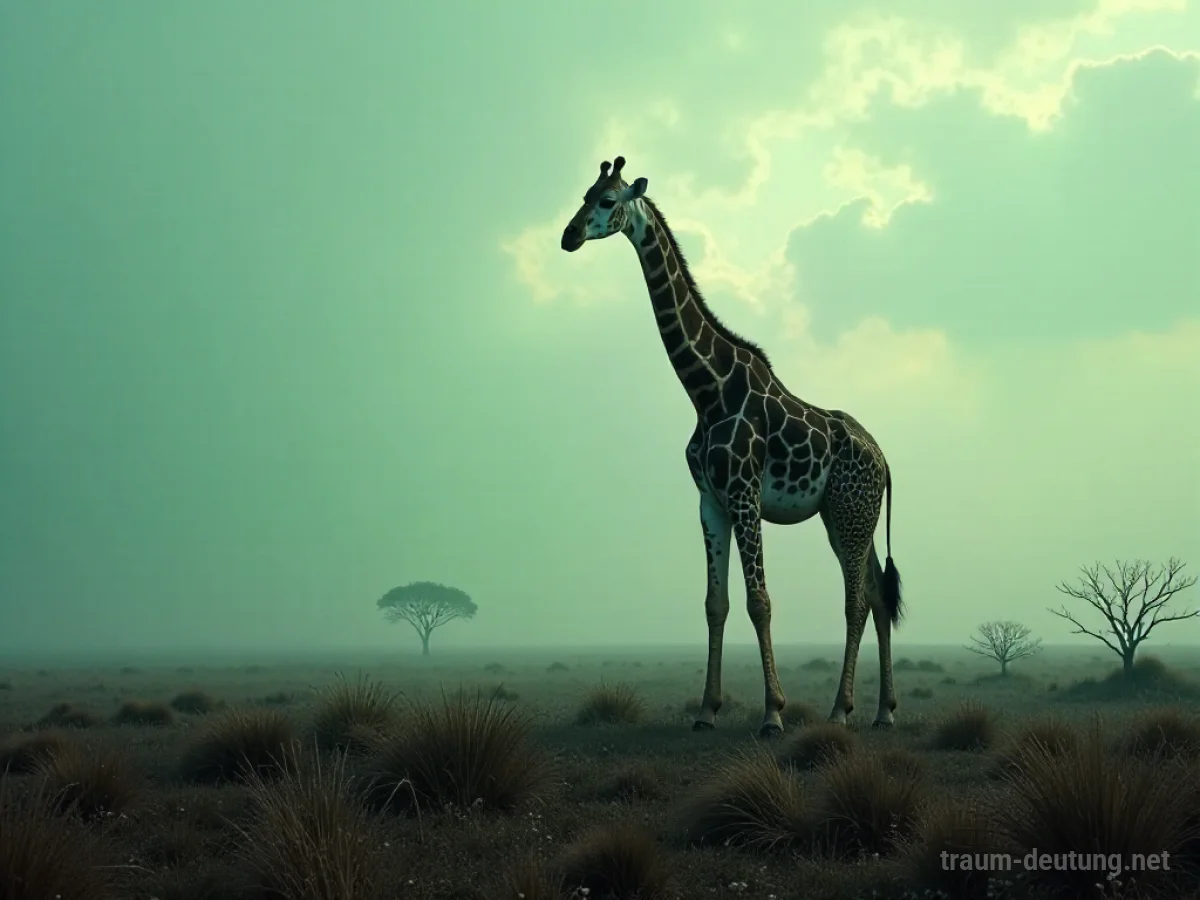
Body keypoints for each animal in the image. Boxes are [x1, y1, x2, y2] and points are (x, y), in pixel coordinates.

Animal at [560, 156, 904, 737]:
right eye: (583, 194)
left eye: (607, 201)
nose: (569, 236)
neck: (706, 389)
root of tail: (884, 460)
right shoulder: (710, 501)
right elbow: (714, 603)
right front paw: (706, 710)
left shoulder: (744, 495)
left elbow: (758, 601)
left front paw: (773, 713)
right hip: (845, 516)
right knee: (878, 595)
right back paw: (883, 711)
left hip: (850, 514)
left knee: (857, 601)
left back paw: (840, 710)